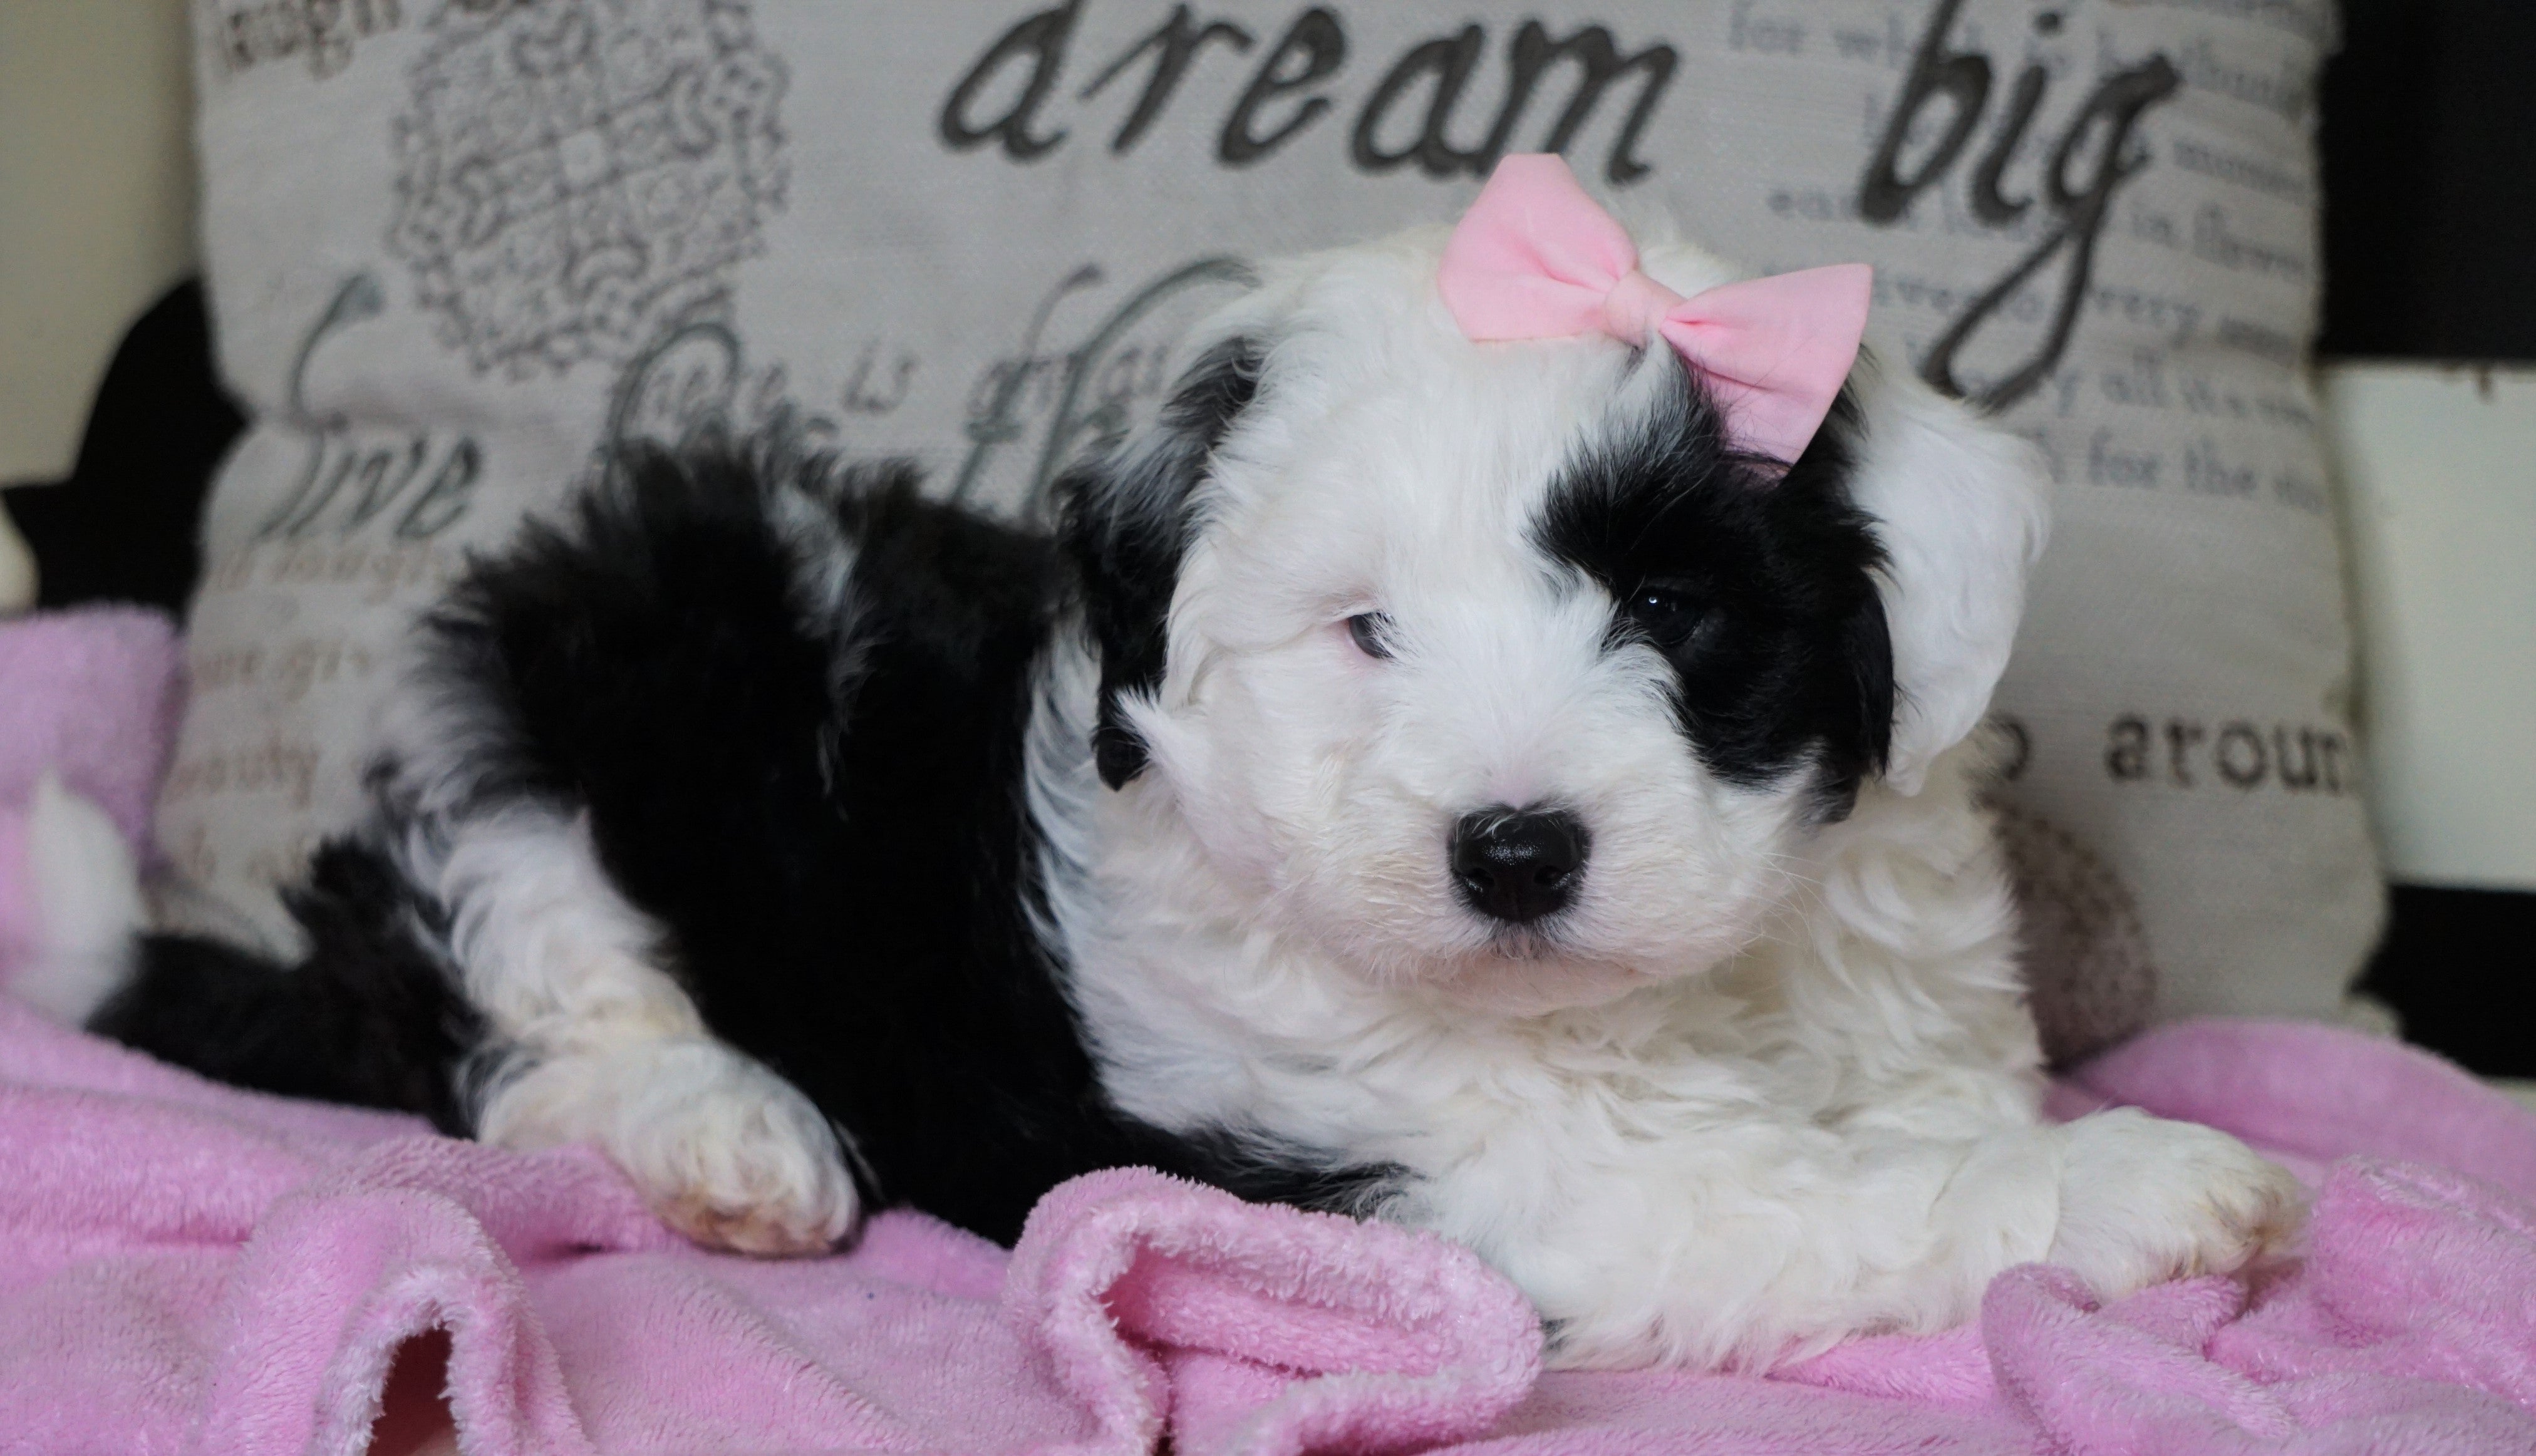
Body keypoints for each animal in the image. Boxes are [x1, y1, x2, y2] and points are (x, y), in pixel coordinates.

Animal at [64, 162, 2302, 1380]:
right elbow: (1820, 1196)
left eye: (1669, 609)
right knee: (525, 1019)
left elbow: (1915, 1113)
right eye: (1364, 633)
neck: (1697, 992)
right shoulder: (1484, 1176)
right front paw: (2143, 1182)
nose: (1512, 850)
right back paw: (739, 1133)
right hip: (593, 670)